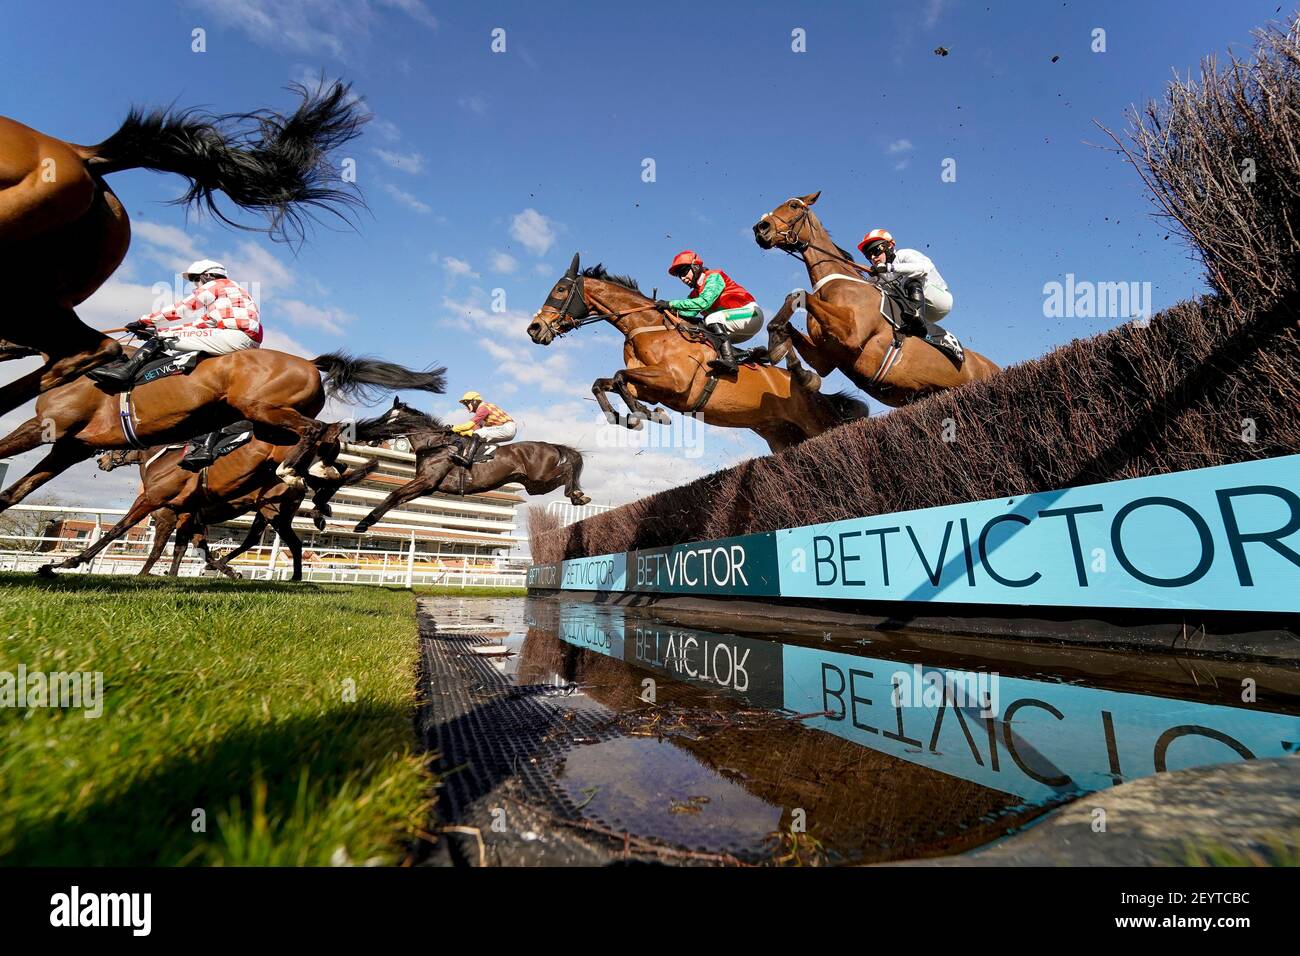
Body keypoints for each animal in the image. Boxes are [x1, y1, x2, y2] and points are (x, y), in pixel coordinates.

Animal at [0, 351, 447, 515]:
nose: (107, 461)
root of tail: (309, 361)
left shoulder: (48, 429)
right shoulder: (69, 447)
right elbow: (14, 493)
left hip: (263, 410)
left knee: (318, 432)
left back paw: (301, 476)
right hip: (272, 423)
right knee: (326, 444)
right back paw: (317, 484)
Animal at [348, 392, 587, 535]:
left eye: (385, 417)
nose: (366, 436)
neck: (435, 444)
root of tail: (550, 445)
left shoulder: (426, 481)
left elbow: (393, 494)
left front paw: (363, 522)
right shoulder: (427, 487)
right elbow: (397, 498)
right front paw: (369, 521)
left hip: (540, 476)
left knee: (568, 468)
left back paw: (577, 494)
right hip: (536, 485)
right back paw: (577, 495)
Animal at [522, 252, 868, 450]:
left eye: (560, 290)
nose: (535, 329)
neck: (648, 329)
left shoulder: (676, 382)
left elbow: (619, 377)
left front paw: (643, 415)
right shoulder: (652, 385)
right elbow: (604, 383)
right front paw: (631, 417)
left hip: (813, 423)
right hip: (780, 435)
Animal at [748, 192, 998, 405]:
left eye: (793, 205)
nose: (760, 228)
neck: (836, 284)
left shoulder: (852, 334)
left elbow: (799, 294)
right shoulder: (826, 358)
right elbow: (792, 327)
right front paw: (782, 350)